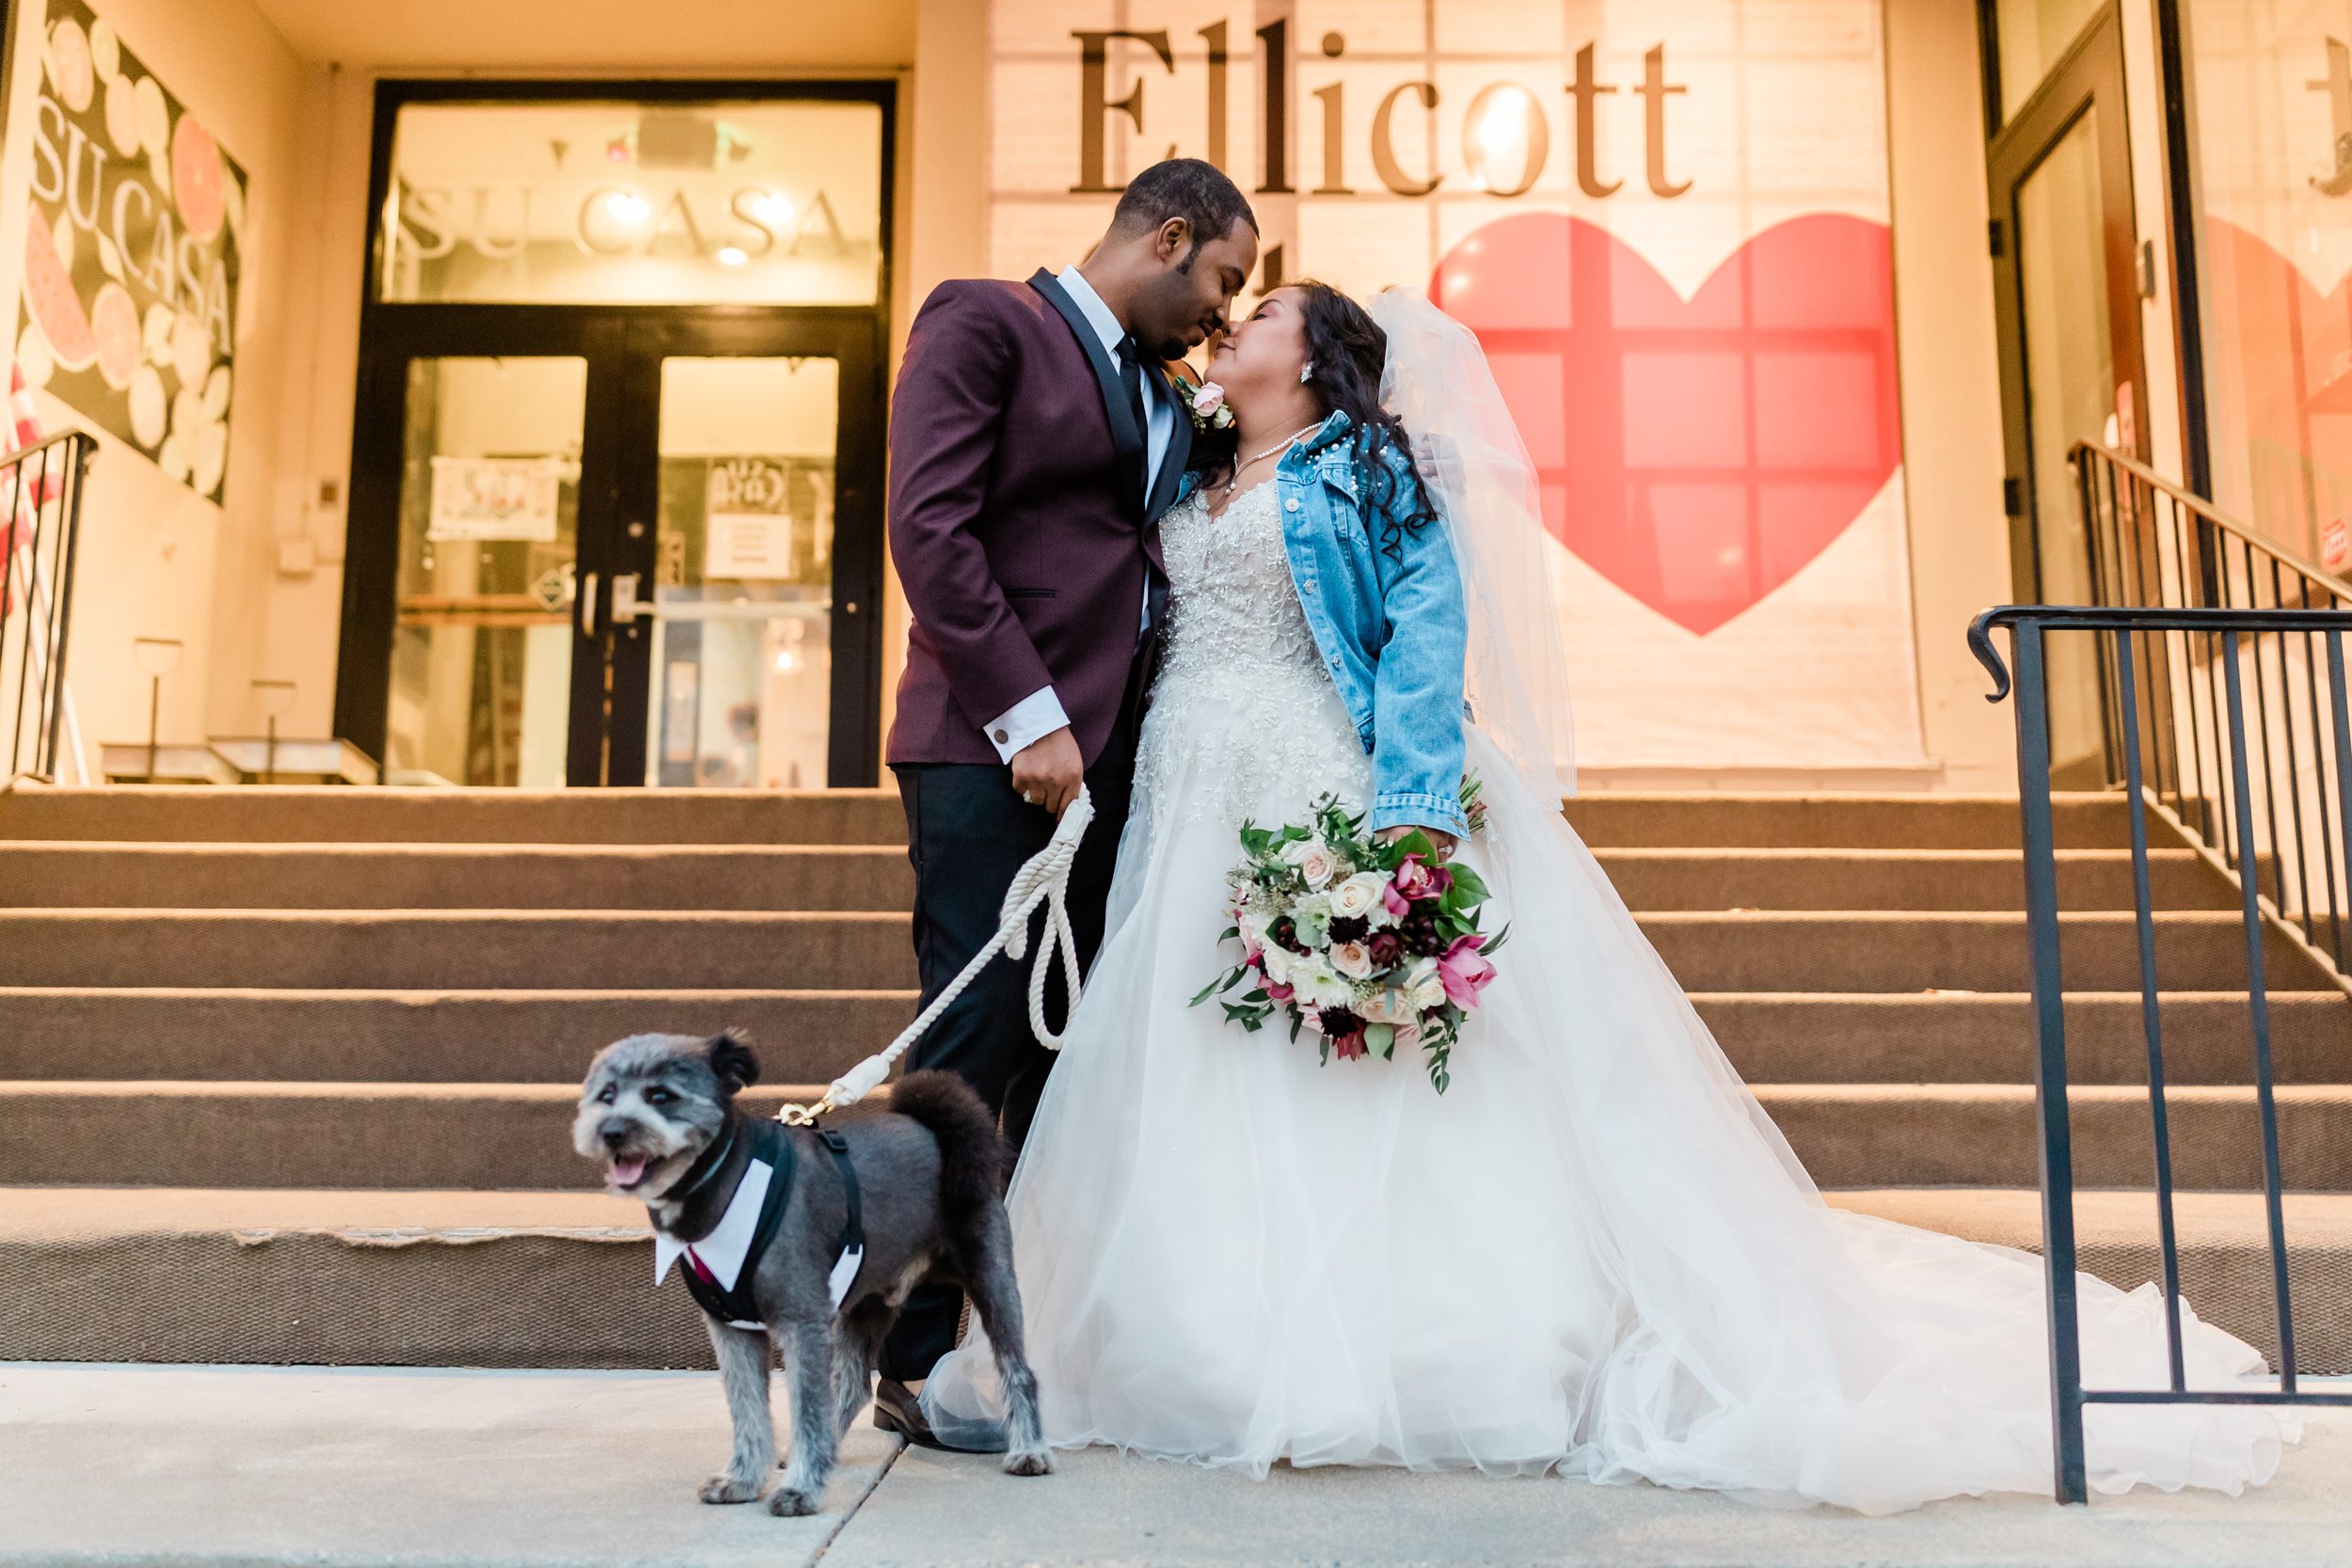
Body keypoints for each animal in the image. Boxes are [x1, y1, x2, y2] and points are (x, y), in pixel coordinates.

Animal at [574, 1029, 1054, 1523]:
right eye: (605, 1095)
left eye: (662, 1096)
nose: (611, 1131)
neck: (728, 1181)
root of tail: (940, 1130)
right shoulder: (733, 1330)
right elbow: (748, 1409)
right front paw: (743, 1479)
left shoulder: (801, 1321)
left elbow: (805, 1408)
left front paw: (802, 1489)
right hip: (868, 1303)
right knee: (854, 1386)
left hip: (992, 1282)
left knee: (1018, 1371)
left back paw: (1028, 1451)